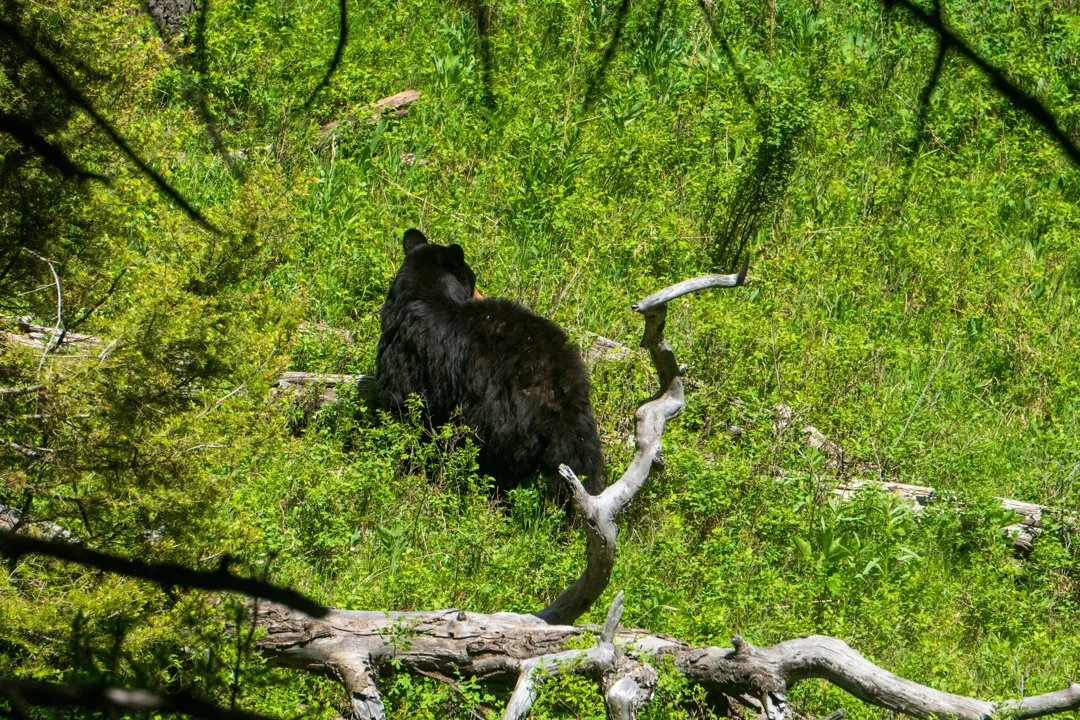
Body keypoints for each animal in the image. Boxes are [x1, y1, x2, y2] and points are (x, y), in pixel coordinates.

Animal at [374, 228, 605, 500]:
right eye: (473, 280)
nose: (481, 294)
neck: (421, 293)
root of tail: (556, 394)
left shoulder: (408, 354)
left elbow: (404, 405)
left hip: (497, 419)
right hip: (582, 421)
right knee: (585, 462)